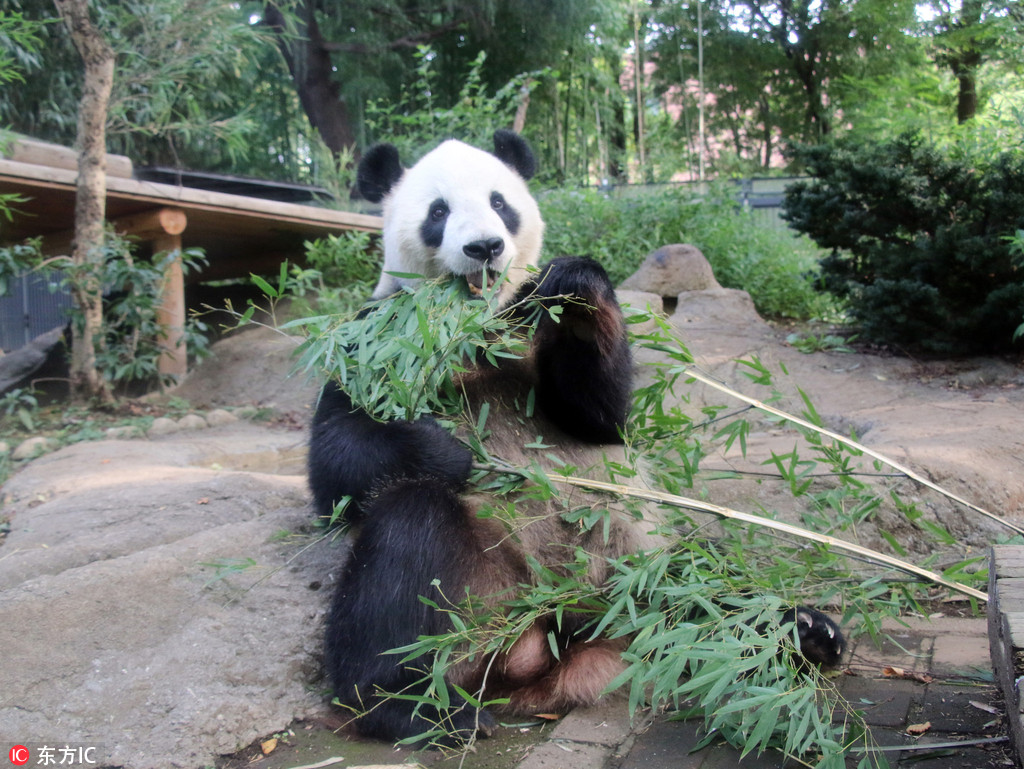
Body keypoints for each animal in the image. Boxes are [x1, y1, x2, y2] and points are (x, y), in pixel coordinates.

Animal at [307, 131, 843, 745]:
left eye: (499, 203)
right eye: (438, 212)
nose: (485, 247)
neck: (473, 322)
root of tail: (564, 634)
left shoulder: (529, 334)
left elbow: (599, 417)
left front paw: (575, 289)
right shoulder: (370, 335)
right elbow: (338, 461)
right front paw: (449, 450)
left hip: (643, 563)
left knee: (706, 579)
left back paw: (805, 633)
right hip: (476, 587)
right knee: (404, 542)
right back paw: (405, 705)